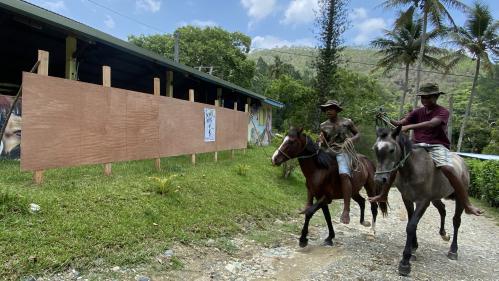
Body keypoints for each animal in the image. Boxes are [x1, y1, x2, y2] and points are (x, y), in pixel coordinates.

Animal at [376, 127, 468, 276]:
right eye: (375, 149)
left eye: (391, 150)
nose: (380, 179)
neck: (413, 169)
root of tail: (462, 164)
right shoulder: (407, 199)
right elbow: (411, 222)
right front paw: (414, 248)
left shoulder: (423, 201)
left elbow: (411, 226)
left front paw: (405, 262)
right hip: (436, 198)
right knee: (442, 210)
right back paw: (443, 234)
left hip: (459, 198)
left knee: (456, 221)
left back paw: (453, 250)